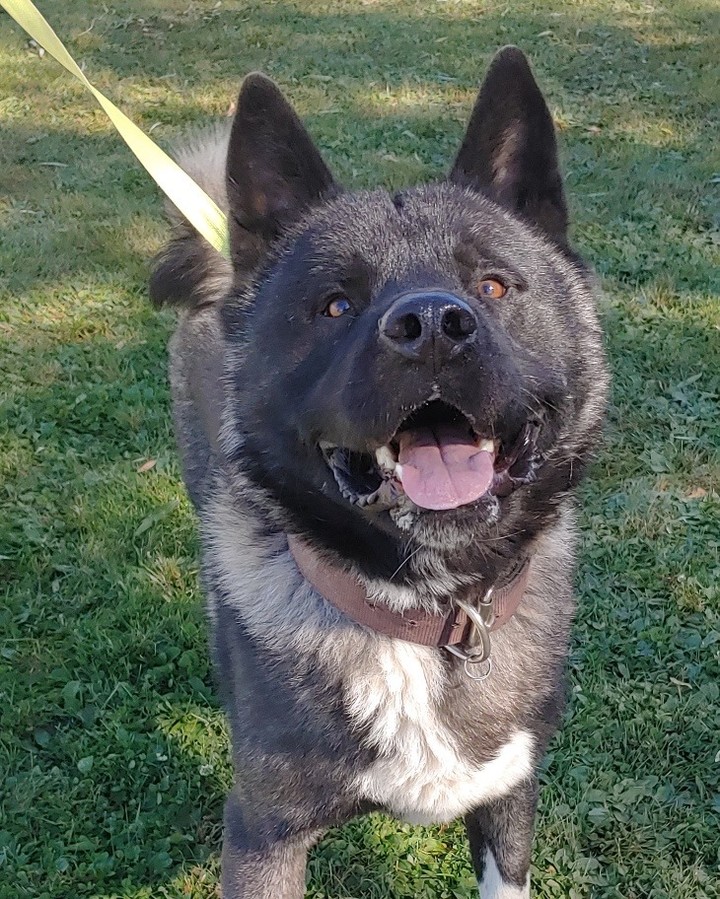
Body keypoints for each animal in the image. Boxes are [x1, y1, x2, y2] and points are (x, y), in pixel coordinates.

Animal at [150, 47, 608, 899]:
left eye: (493, 284)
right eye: (335, 304)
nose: (431, 326)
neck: (422, 615)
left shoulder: (510, 800)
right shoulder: (262, 837)